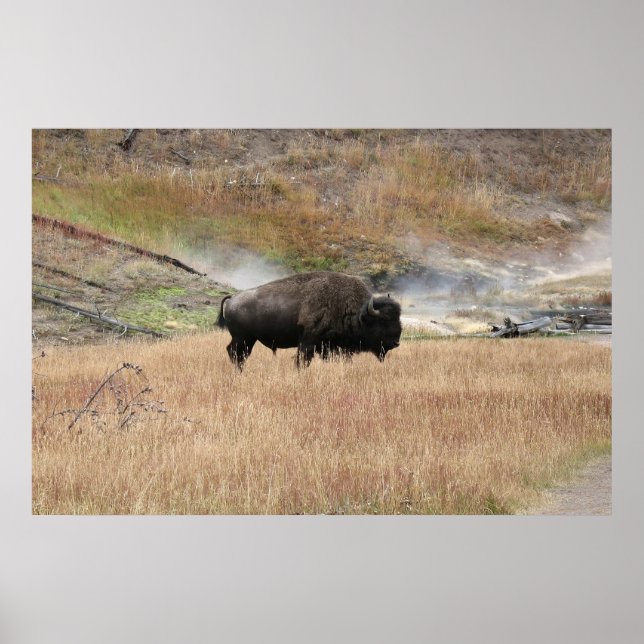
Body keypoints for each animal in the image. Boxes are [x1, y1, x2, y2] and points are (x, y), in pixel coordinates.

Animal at [217, 271, 402, 369]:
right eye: (383, 321)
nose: (396, 342)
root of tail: (233, 298)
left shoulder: (329, 346)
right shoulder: (308, 341)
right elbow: (302, 360)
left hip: (248, 339)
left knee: (238, 353)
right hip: (242, 338)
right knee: (234, 352)